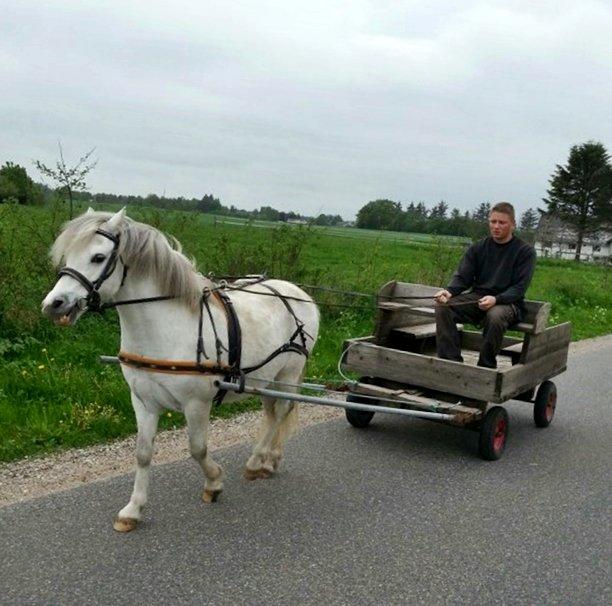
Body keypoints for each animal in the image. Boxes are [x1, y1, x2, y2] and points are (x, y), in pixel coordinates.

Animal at [41, 209, 320, 532]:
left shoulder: (196, 403)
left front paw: (213, 482)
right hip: (265, 378)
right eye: (67, 255)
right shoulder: (143, 402)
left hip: (288, 374)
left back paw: (257, 461)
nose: (53, 304)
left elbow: (197, 449)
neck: (166, 325)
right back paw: (269, 459)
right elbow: (143, 453)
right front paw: (133, 510)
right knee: (273, 412)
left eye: (98, 257)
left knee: (283, 410)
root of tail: (300, 294)